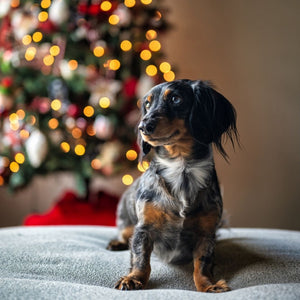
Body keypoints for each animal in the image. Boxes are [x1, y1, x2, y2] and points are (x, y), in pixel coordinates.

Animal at [106, 78, 238, 292]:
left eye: (176, 99)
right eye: (147, 104)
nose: (143, 126)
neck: (181, 169)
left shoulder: (207, 233)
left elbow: (202, 263)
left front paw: (209, 285)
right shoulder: (144, 228)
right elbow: (141, 258)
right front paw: (133, 279)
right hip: (127, 224)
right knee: (125, 235)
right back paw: (116, 243)